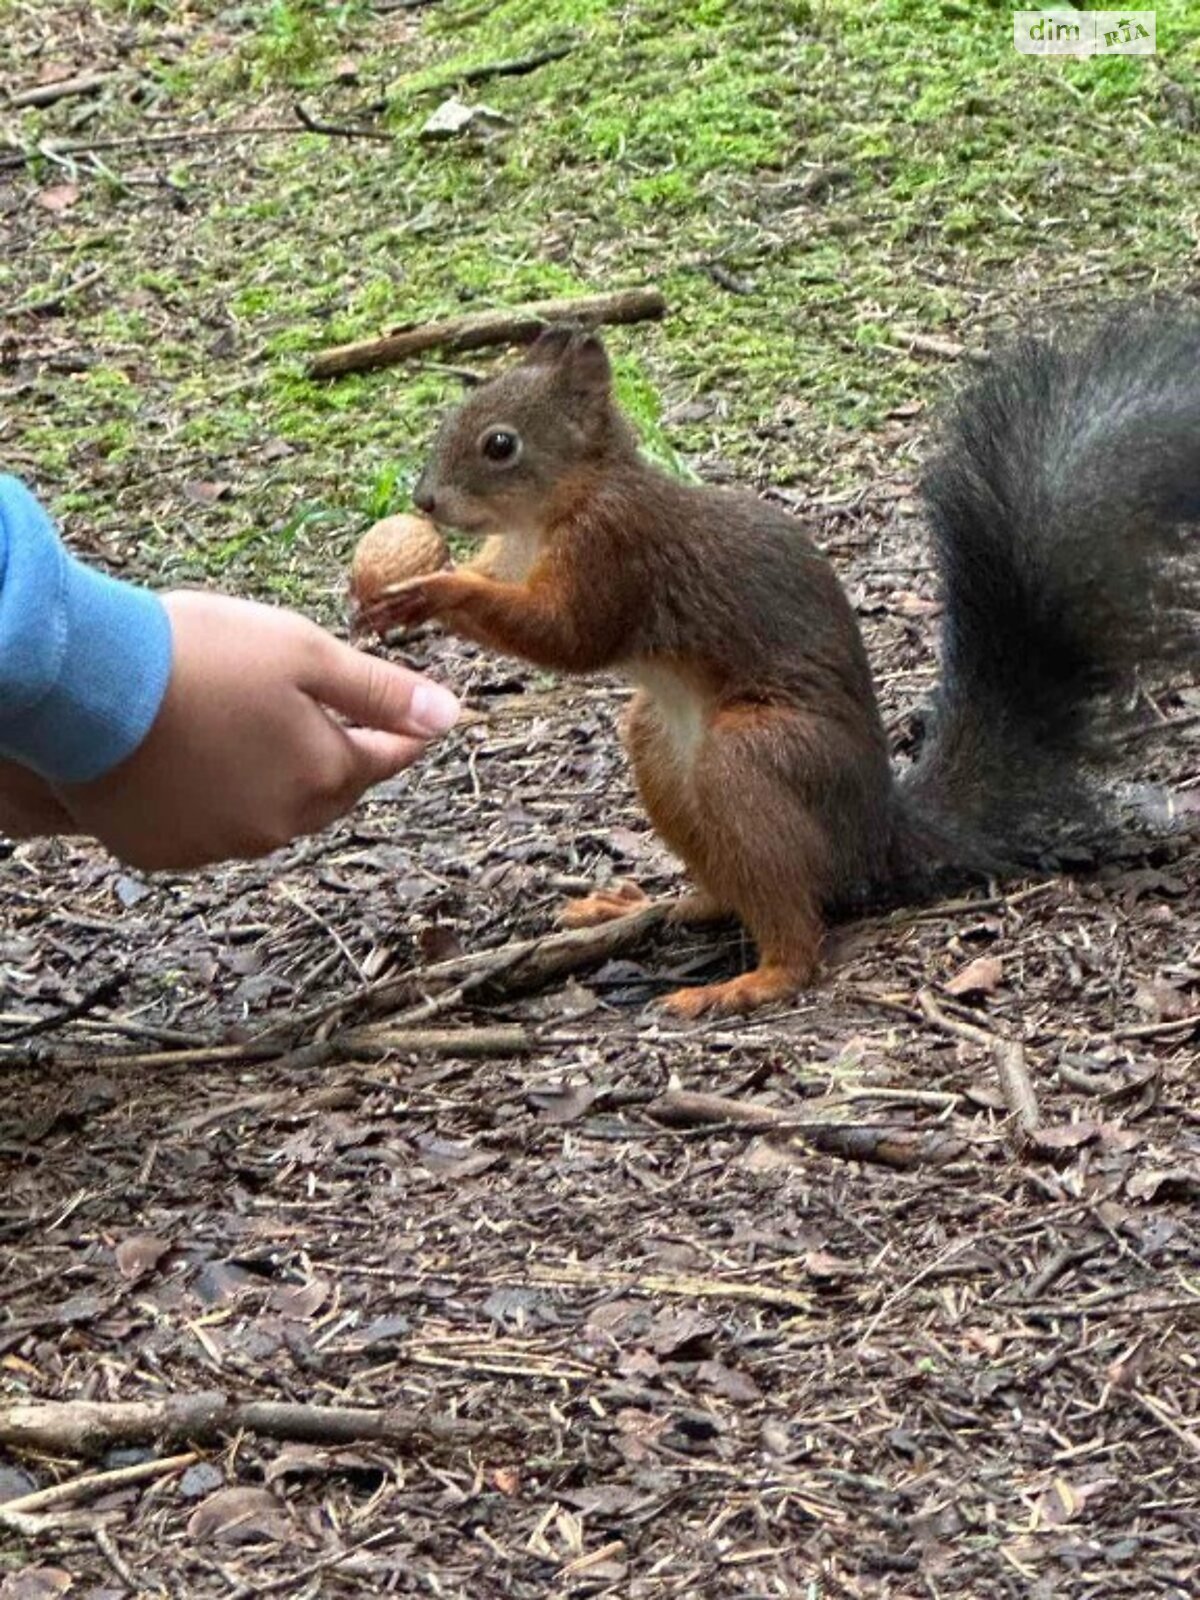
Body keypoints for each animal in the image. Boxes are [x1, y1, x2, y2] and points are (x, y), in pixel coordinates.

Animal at [364, 310, 1200, 1011]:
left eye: (500, 444)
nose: (426, 501)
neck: (558, 508)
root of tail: (877, 833)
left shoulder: (618, 552)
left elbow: (571, 639)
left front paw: (432, 589)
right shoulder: (516, 555)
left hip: (757, 756)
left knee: (796, 922)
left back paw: (755, 981)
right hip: (661, 746)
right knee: (733, 881)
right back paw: (654, 903)